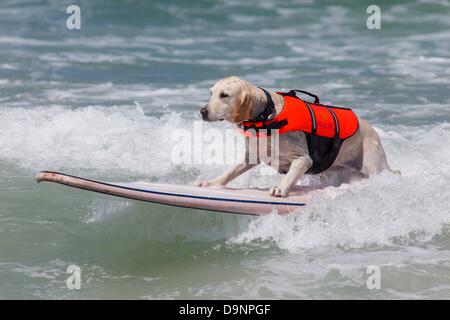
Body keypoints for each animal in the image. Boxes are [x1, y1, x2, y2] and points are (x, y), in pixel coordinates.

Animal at [193, 77, 394, 198]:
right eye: (211, 93)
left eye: (224, 95)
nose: (202, 111)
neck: (266, 116)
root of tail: (374, 131)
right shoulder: (251, 155)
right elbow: (229, 173)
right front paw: (211, 183)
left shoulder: (303, 159)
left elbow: (290, 175)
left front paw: (280, 188)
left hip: (374, 165)